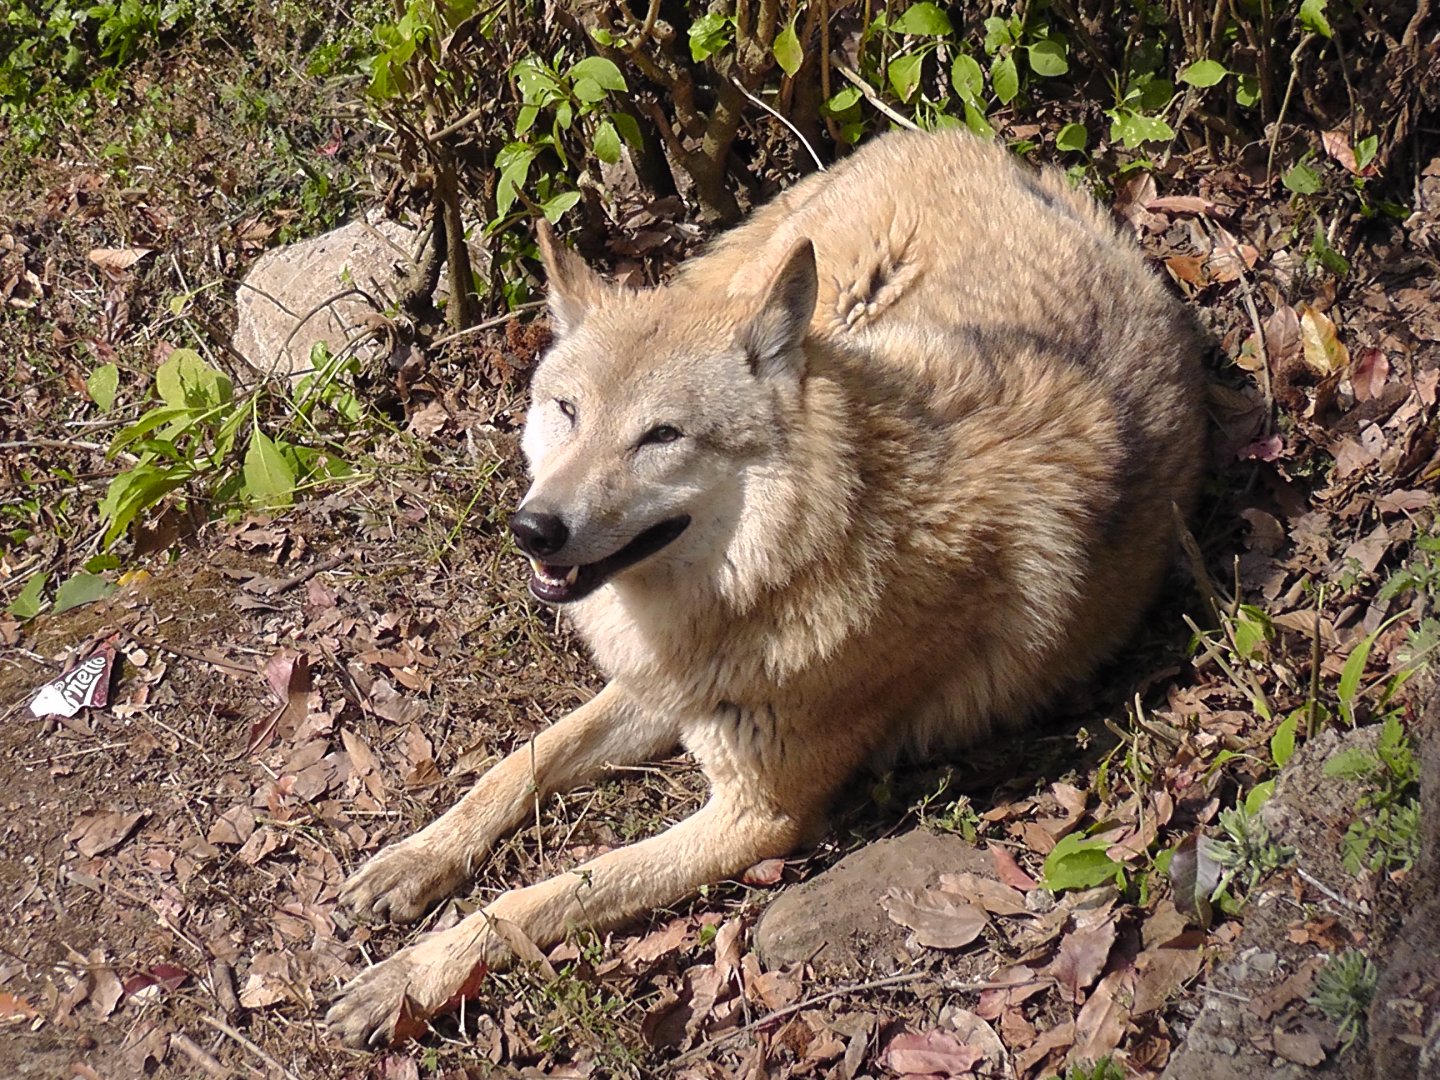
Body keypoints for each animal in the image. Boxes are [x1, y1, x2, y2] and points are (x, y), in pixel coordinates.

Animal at [327, 128, 1206, 1045]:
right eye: (567, 411)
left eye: (661, 436)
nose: (534, 529)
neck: (806, 554)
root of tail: (958, 137)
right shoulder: (660, 685)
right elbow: (515, 767)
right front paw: (412, 864)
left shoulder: (760, 816)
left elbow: (540, 896)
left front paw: (409, 979)